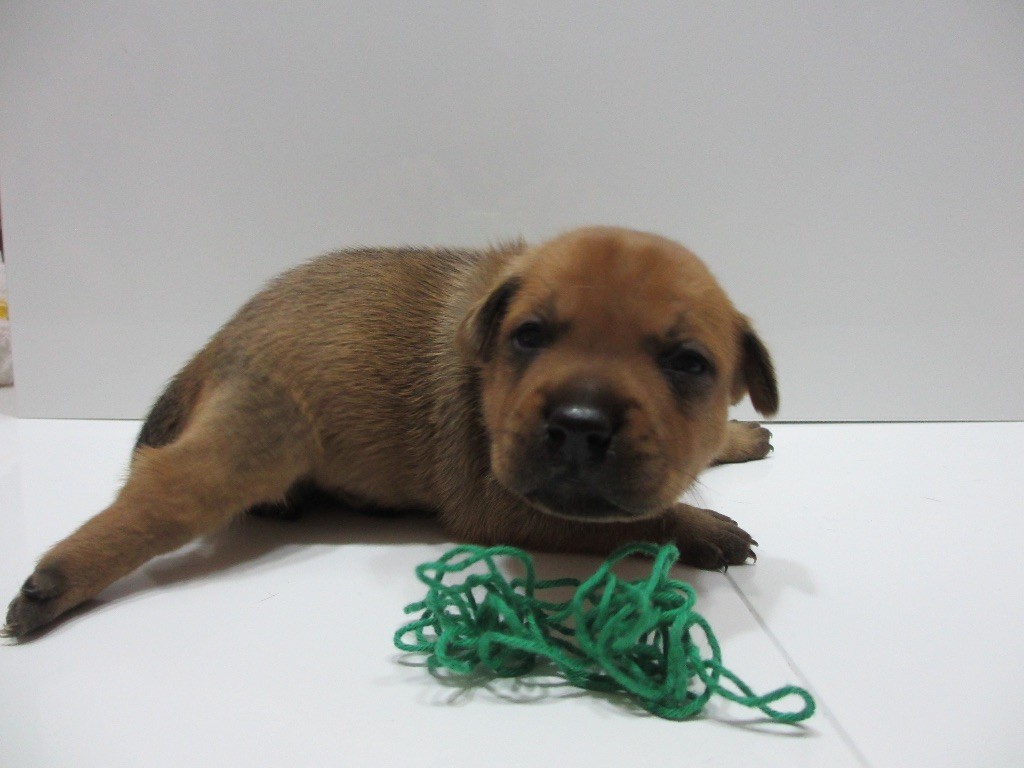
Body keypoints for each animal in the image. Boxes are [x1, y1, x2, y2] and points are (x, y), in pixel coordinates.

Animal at [4, 226, 777, 638]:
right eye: (529, 337)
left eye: (688, 364)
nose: (578, 424)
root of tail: (220, 342)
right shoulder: (502, 502)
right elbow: (633, 522)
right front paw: (700, 529)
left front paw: (738, 436)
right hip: (251, 439)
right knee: (157, 497)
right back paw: (54, 582)